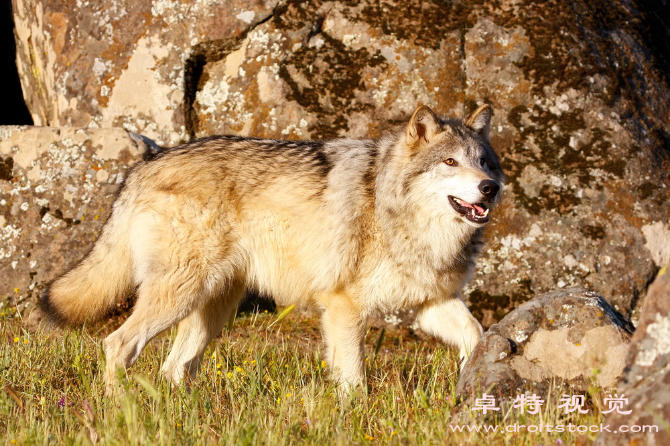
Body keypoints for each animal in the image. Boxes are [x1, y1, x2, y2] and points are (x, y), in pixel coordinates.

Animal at [40, 104, 504, 390]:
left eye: (483, 162)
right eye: (450, 162)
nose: (490, 188)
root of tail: (145, 164)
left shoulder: (430, 302)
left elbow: (476, 336)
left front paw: (470, 388)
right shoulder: (344, 307)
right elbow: (355, 380)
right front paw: (353, 416)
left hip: (212, 310)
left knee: (173, 369)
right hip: (178, 297)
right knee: (118, 344)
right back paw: (121, 409)